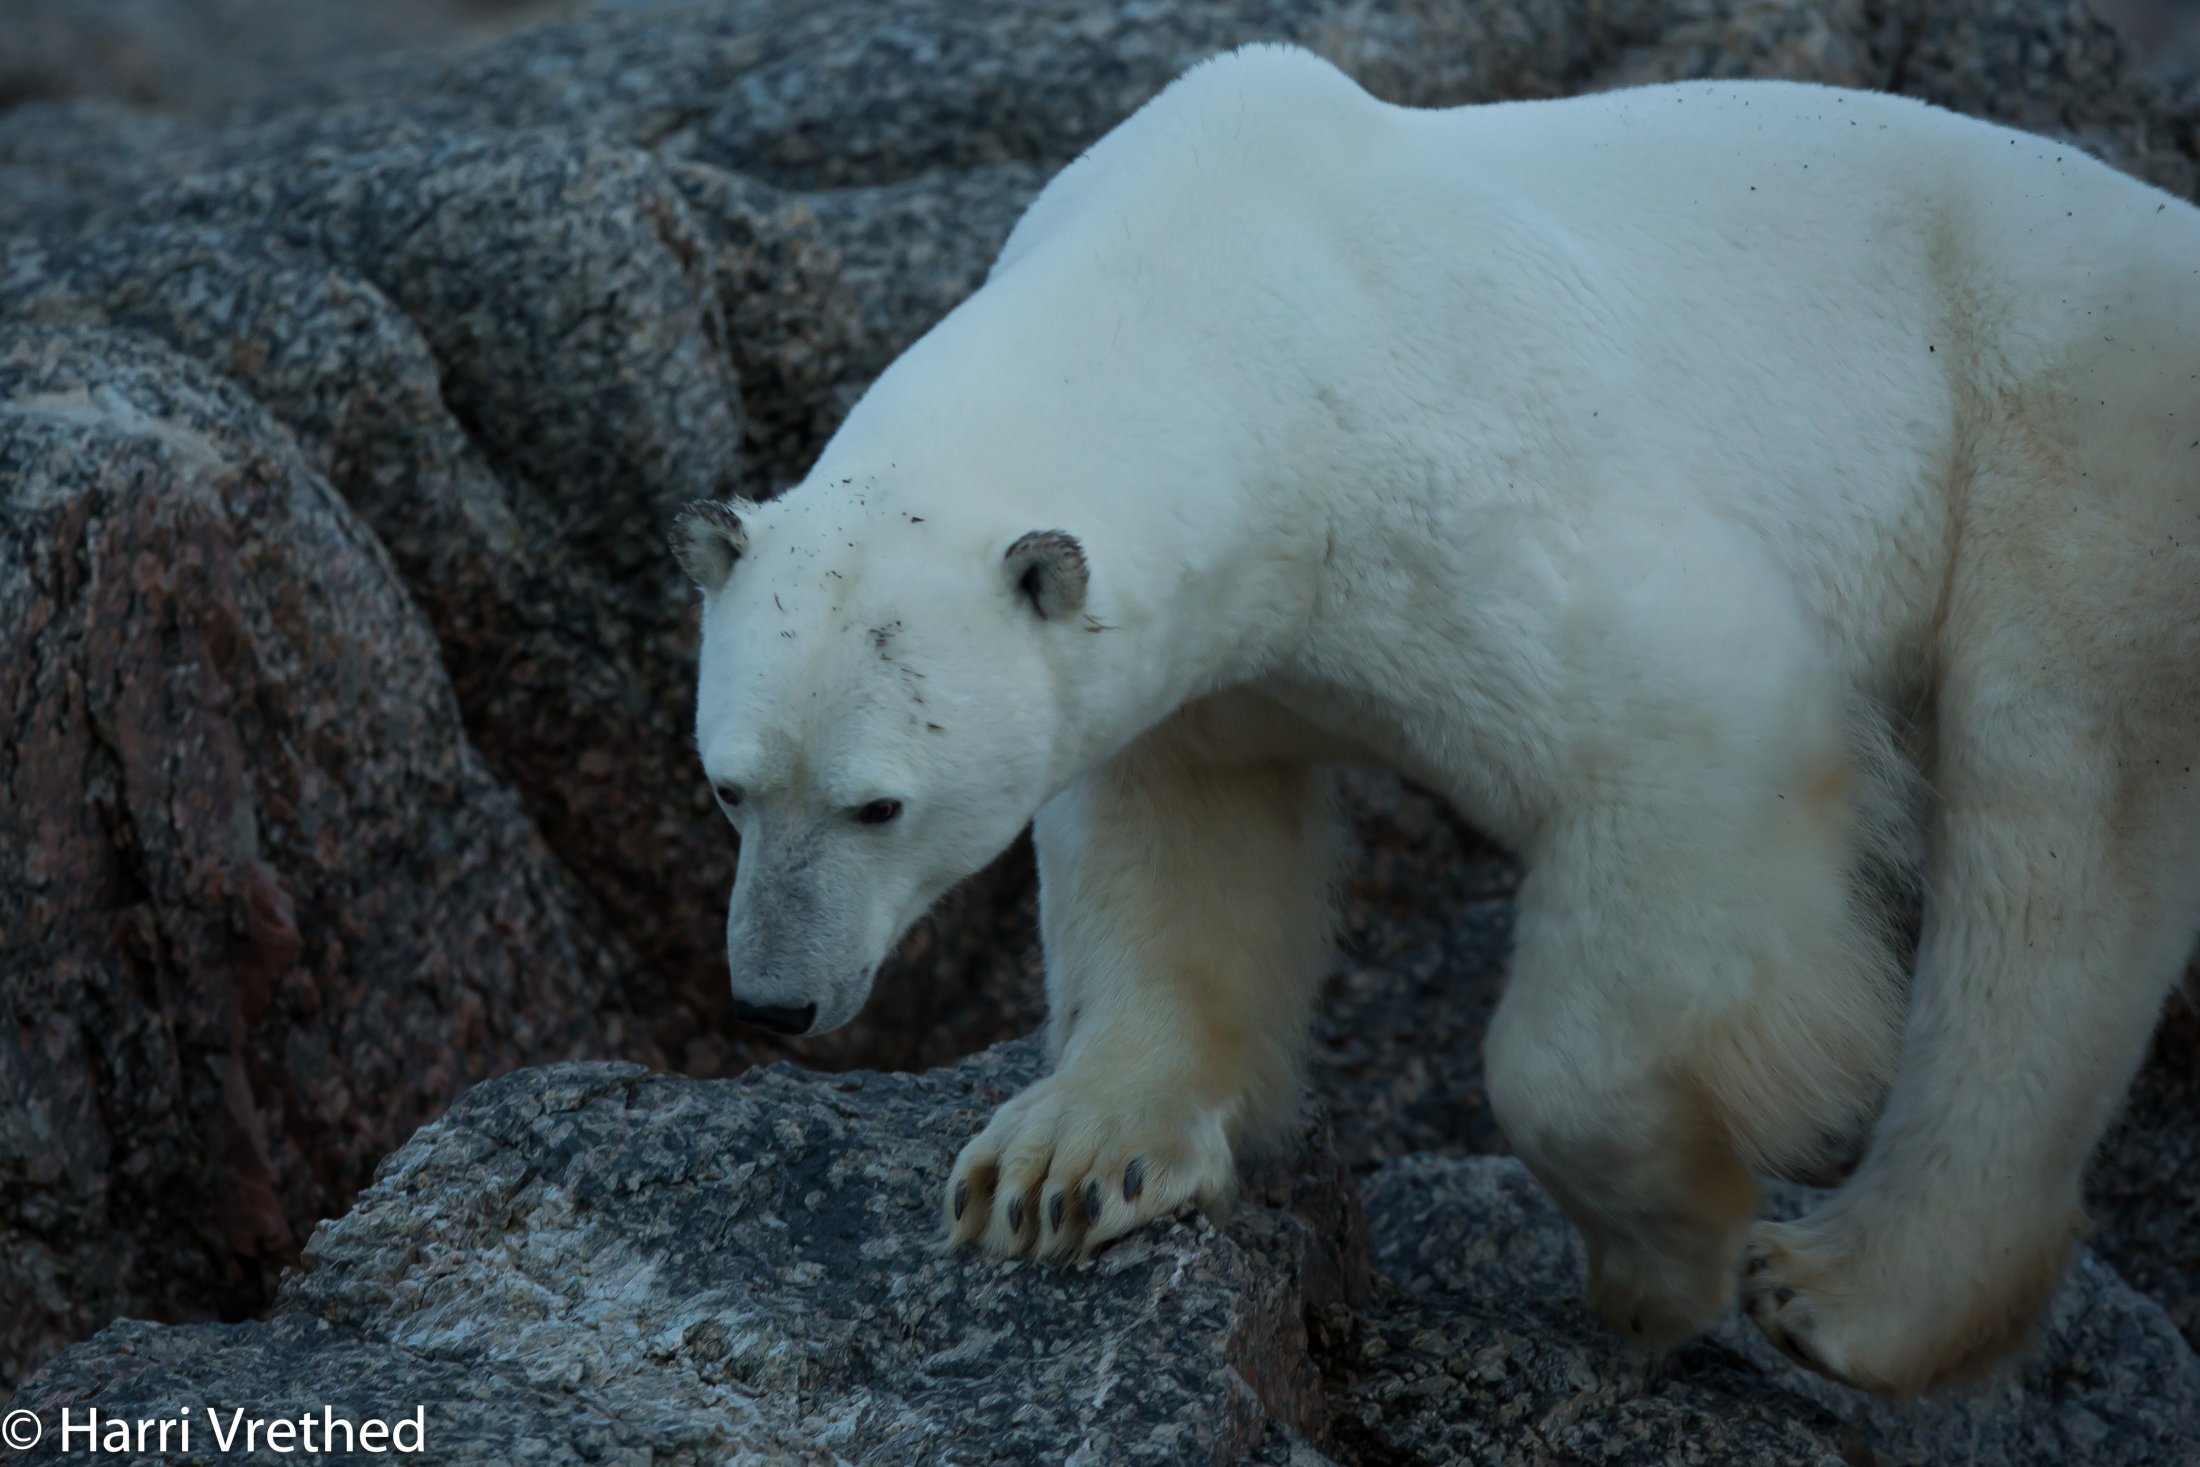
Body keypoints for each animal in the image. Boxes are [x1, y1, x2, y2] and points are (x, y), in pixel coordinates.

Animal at [677, 45, 2200, 1398]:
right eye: (729, 788)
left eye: (879, 802)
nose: (773, 999)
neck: (1229, 286)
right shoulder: (1208, 649)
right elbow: (1175, 840)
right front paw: (1064, 1165)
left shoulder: (1463, 479)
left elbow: (1688, 738)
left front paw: (1661, 1258)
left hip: (2073, 433)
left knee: (2053, 824)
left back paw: (1847, 1292)